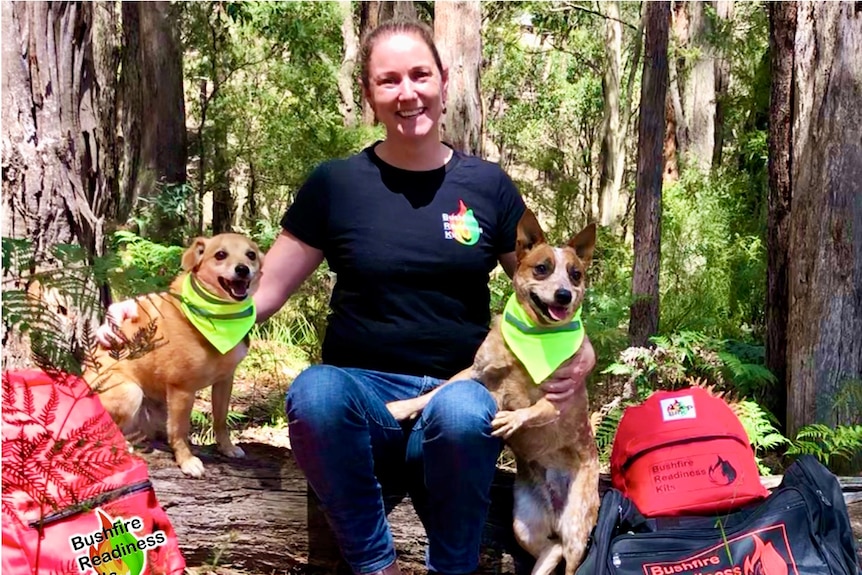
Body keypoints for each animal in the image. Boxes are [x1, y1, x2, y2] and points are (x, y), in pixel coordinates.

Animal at [87, 233, 264, 476]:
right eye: (220, 254)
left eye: (251, 255)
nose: (243, 269)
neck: (219, 316)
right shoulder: (182, 389)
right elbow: (180, 430)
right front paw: (187, 461)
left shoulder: (224, 381)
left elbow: (220, 420)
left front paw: (226, 447)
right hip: (131, 392)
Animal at [392, 212, 600, 575]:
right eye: (542, 268)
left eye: (575, 274)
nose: (564, 294)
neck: (533, 338)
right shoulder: (474, 373)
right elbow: (437, 390)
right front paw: (403, 406)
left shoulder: (560, 397)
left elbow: (534, 409)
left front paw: (511, 419)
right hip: (524, 523)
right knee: (551, 548)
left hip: (576, 528)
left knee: (570, 558)